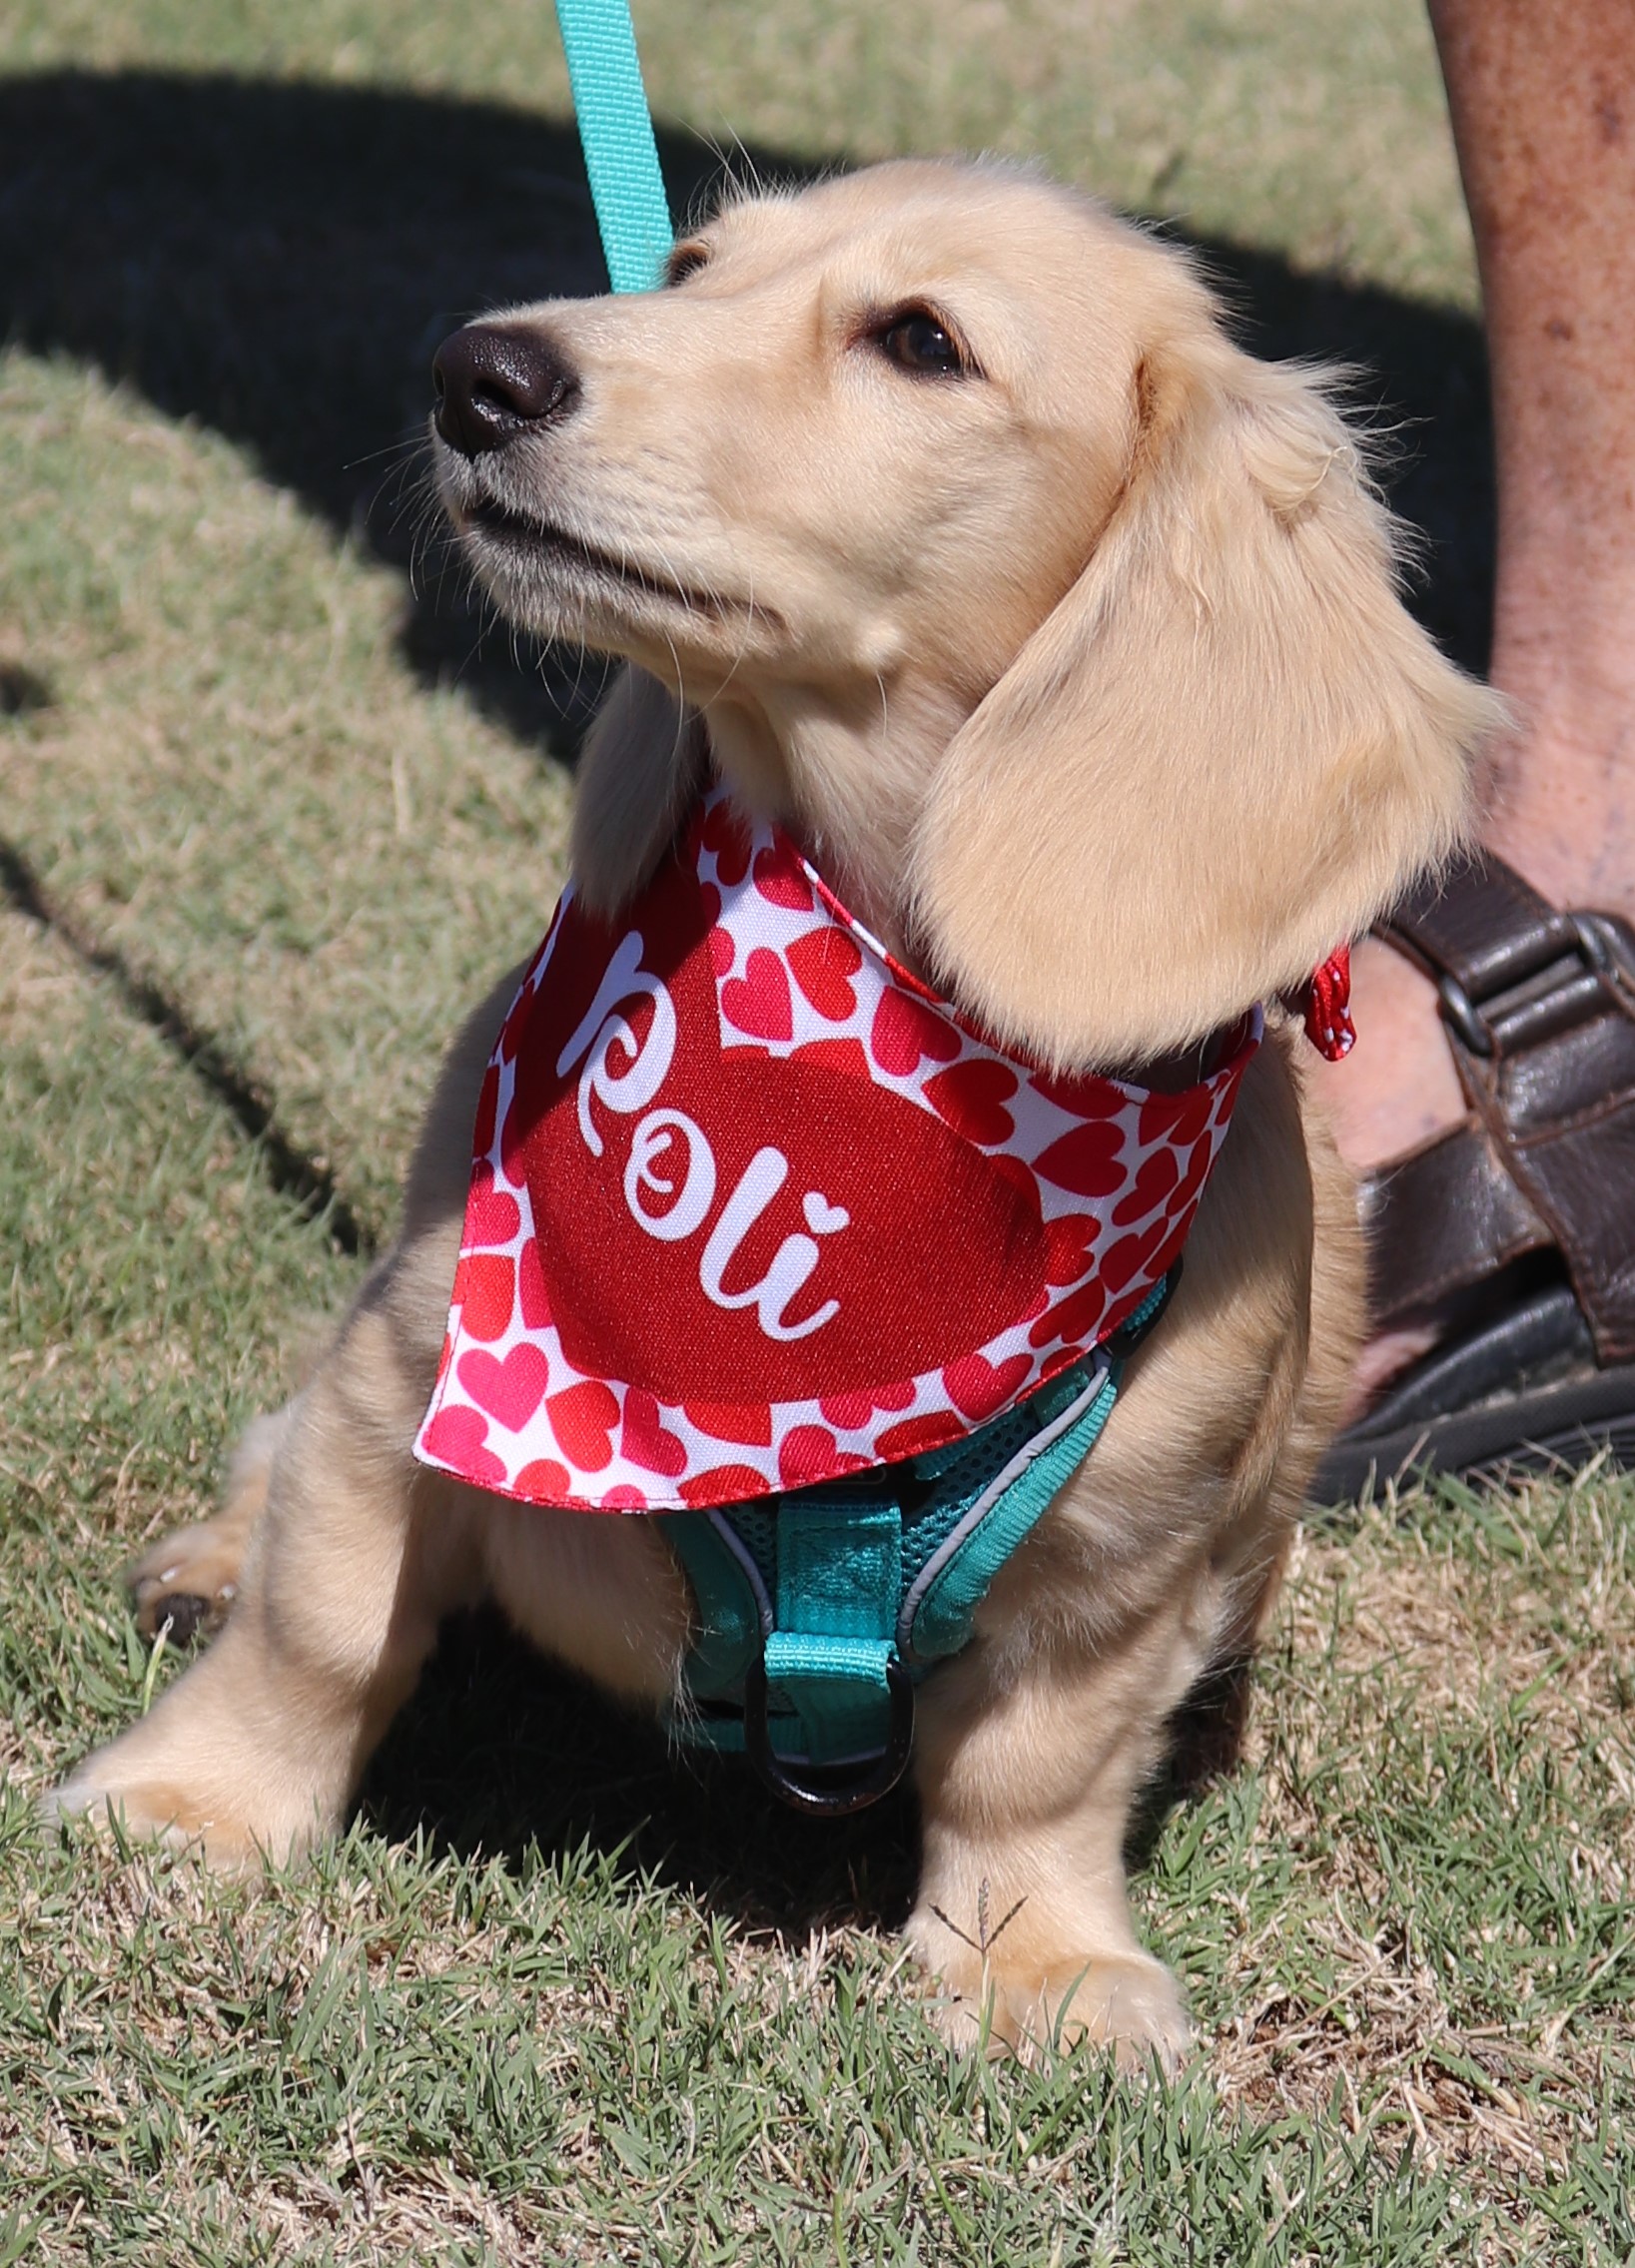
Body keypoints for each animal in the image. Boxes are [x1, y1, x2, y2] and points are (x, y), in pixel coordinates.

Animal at [52, 160, 1498, 2064]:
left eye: (921, 341)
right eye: (683, 267)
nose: (479, 373)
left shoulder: (1130, 1568)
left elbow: (1038, 1775)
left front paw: (1032, 1964)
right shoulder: (404, 1367)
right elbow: (321, 1622)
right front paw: (196, 1801)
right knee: (266, 1480)